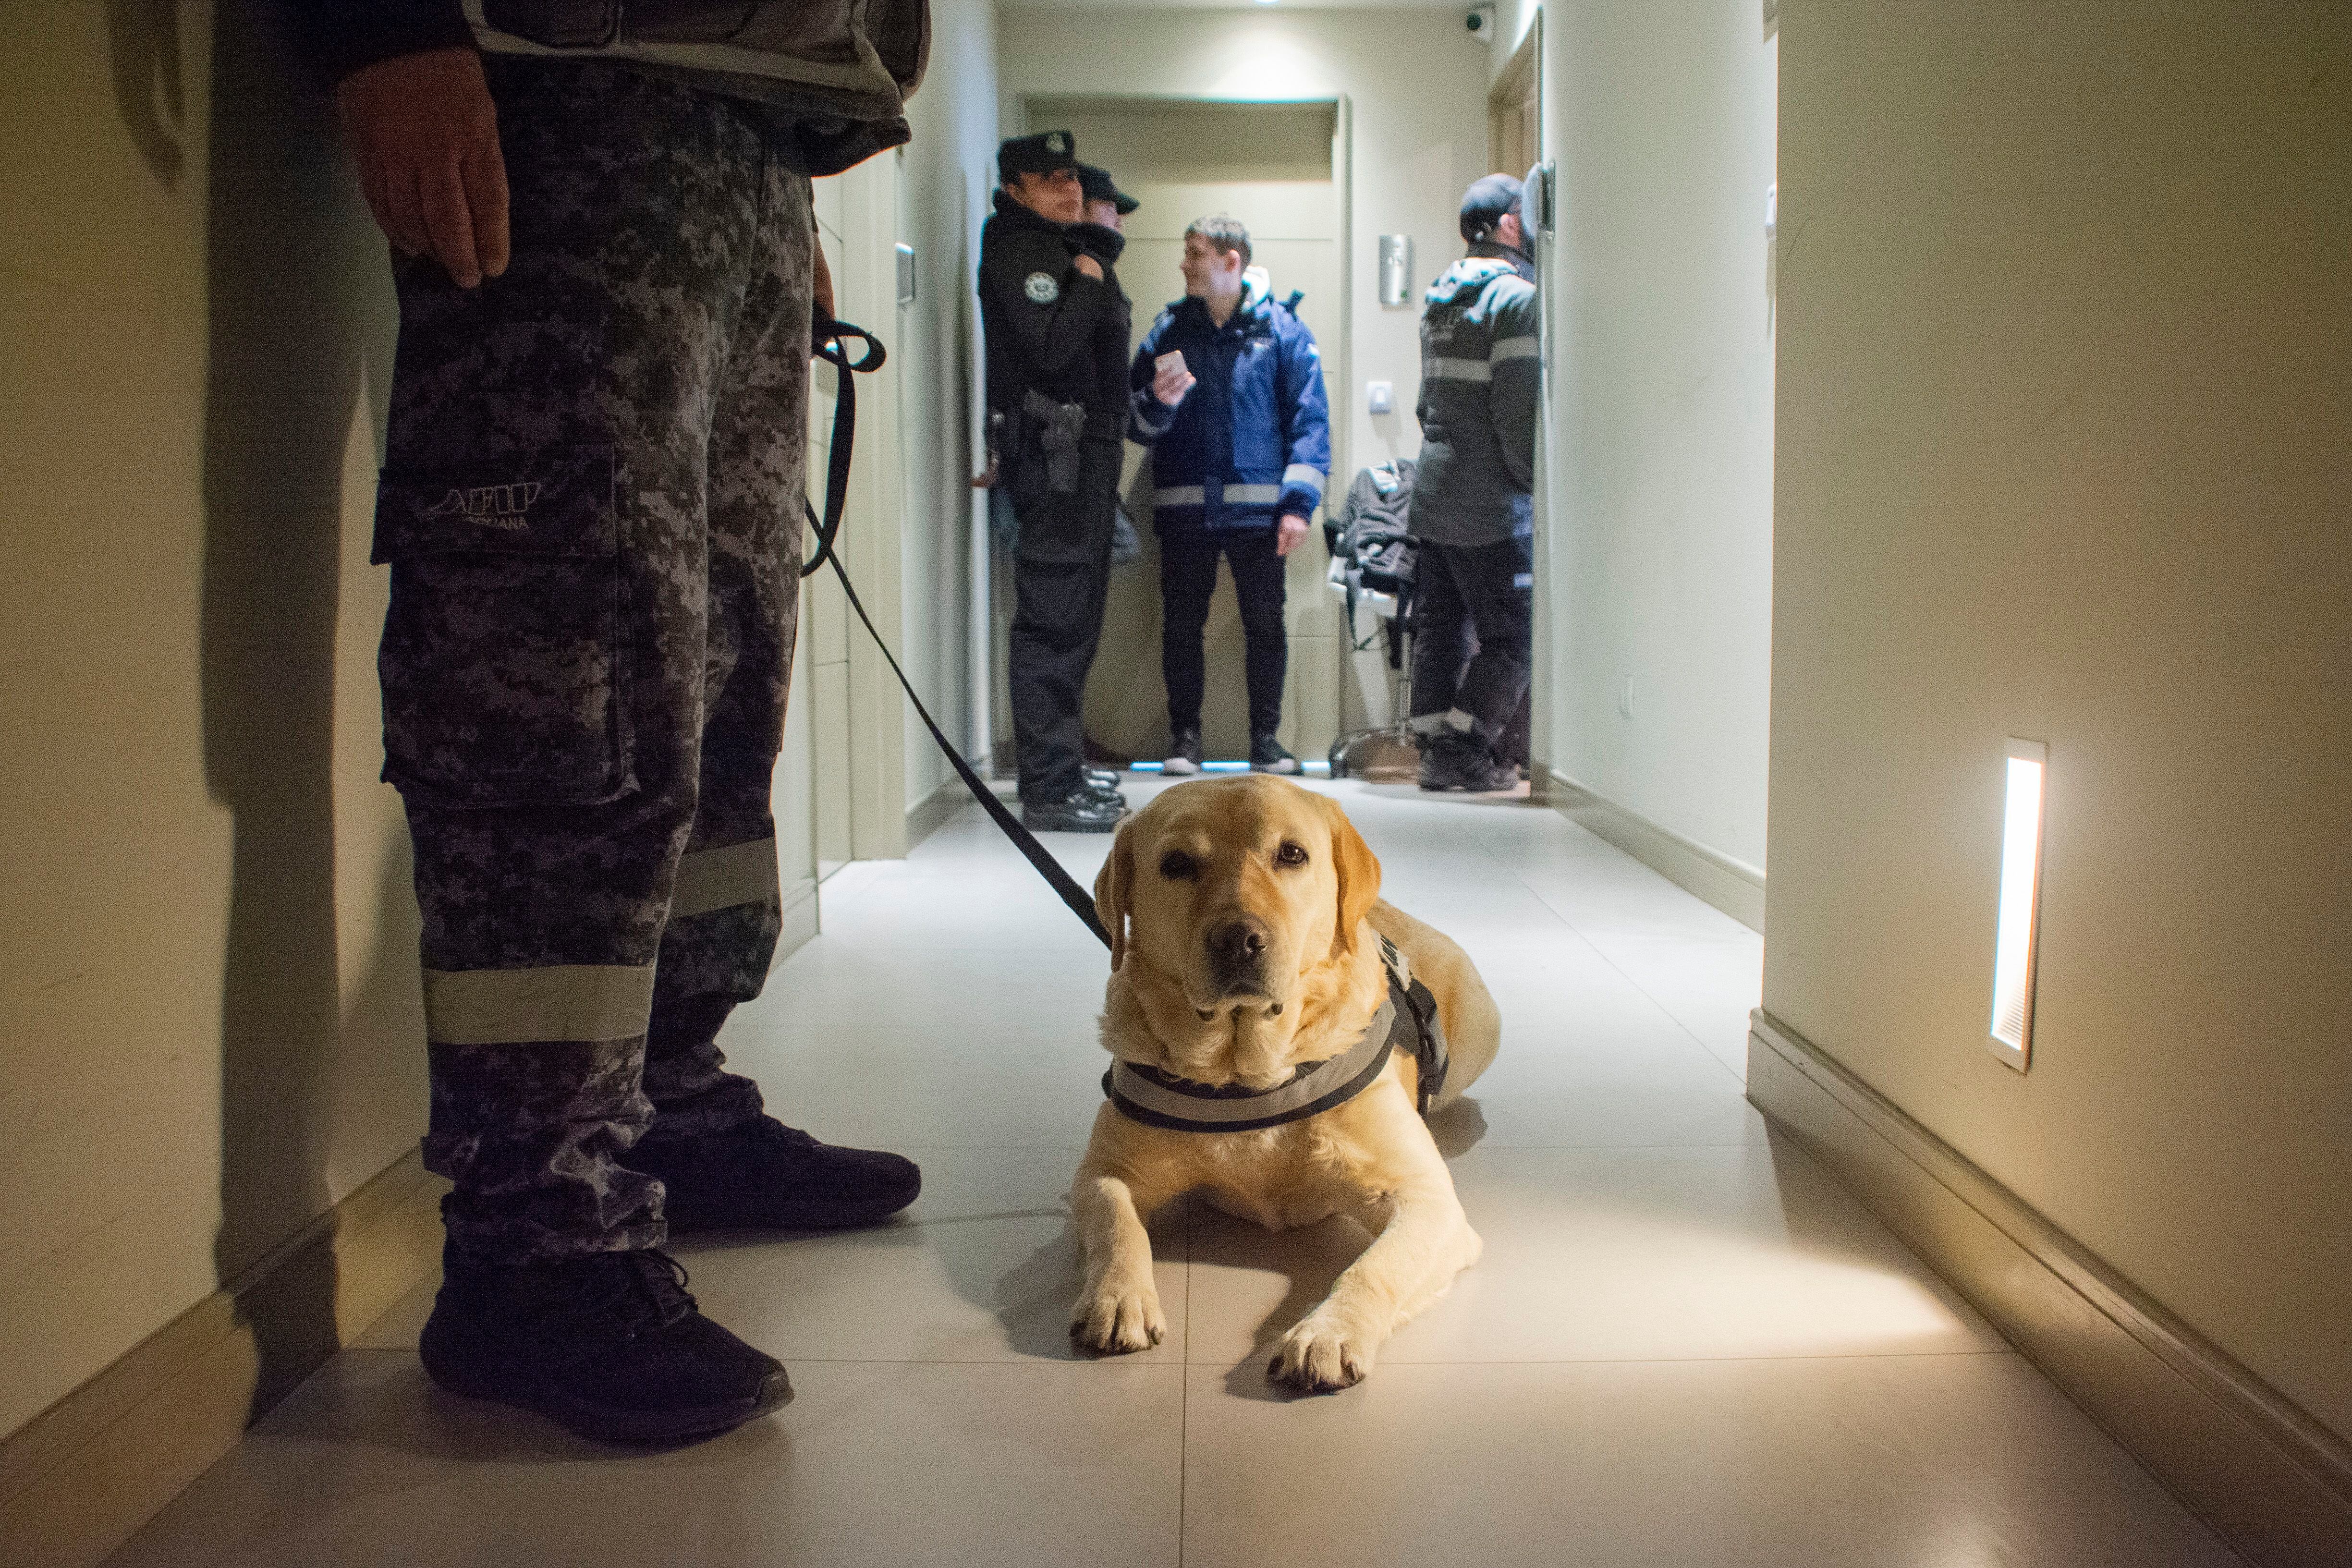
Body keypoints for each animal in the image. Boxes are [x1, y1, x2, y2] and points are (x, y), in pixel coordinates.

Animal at [1069, 774, 1500, 1390]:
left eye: (1291, 854)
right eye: (1176, 864)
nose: (1238, 939)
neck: (1244, 1071)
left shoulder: (1426, 1200)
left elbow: (1372, 1268)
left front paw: (1329, 1333)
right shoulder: (1103, 1171)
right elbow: (1116, 1224)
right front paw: (1117, 1297)